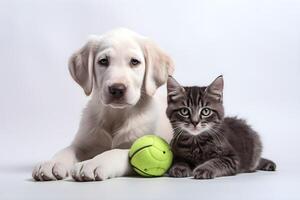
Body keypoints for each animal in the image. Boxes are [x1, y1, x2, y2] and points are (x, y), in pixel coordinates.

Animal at [31, 28, 173, 181]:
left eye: (135, 62)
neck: (116, 115)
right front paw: (53, 162)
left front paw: (94, 162)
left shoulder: (134, 144)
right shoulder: (83, 142)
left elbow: (116, 152)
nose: (117, 89)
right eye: (103, 61)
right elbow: (67, 150)